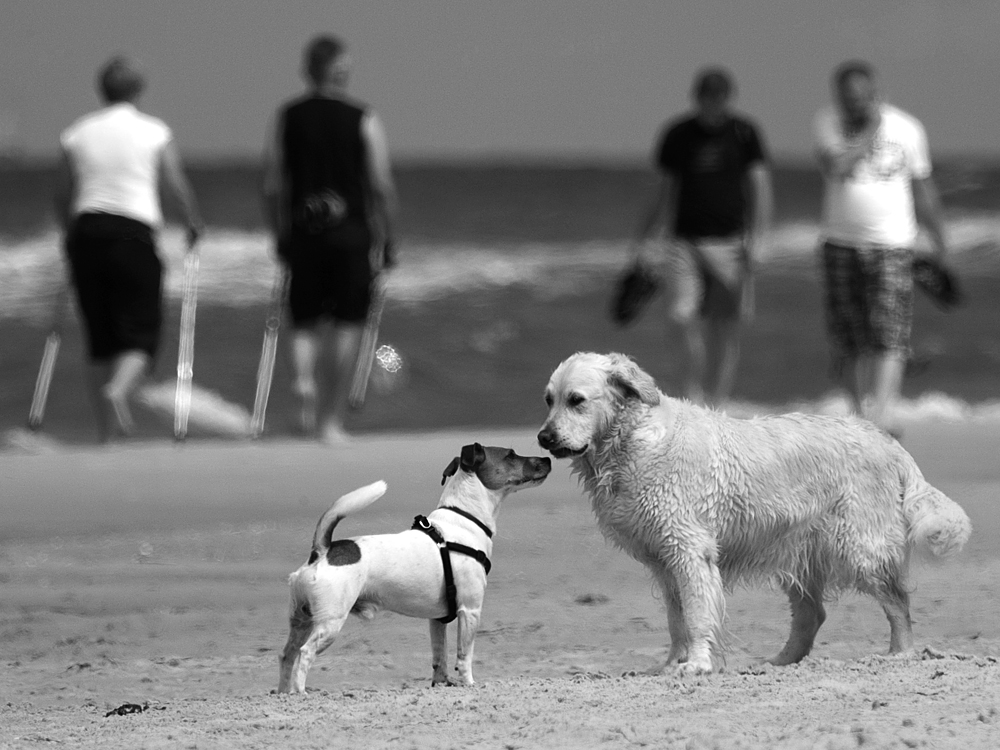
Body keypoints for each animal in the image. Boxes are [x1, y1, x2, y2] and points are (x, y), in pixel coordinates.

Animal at [278, 444, 552, 696]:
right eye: (510, 455)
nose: (548, 459)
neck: (464, 520)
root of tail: (323, 551)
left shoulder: (438, 618)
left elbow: (439, 658)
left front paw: (441, 684)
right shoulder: (470, 610)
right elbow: (464, 655)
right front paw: (469, 684)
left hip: (300, 620)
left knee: (286, 655)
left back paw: (283, 693)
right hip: (330, 622)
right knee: (304, 653)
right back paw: (300, 693)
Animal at [536, 352, 972, 676]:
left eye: (576, 400)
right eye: (548, 400)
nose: (543, 438)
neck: (630, 442)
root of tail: (886, 441)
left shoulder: (688, 549)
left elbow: (696, 614)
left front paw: (697, 664)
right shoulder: (664, 560)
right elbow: (677, 619)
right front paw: (672, 664)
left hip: (859, 546)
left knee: (898, 601)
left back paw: (900, 653)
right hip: (800, 549)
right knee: (812, 614)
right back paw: (779, 663)